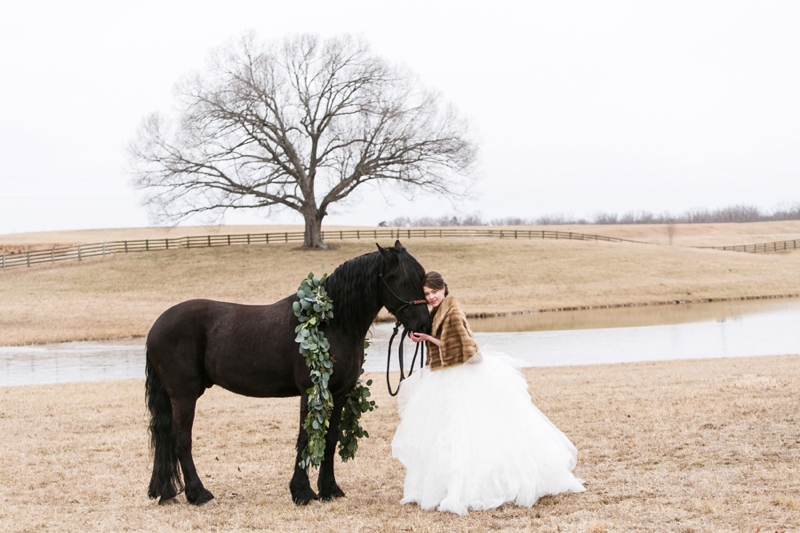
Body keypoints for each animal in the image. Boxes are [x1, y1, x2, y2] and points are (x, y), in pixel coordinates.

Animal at [144, 239, 432, 504]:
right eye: (402, 280)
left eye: (422, 278)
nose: (424, 325)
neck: (332, 322)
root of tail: (156, 326)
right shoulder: (310, 391)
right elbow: (304, 438)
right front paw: (302, 492)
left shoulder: (338, 394)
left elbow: (330, 440)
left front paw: (329, 489)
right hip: (183, 394)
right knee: (180, 439)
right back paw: (199, 493)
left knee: (165, 437)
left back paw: (166, 491)